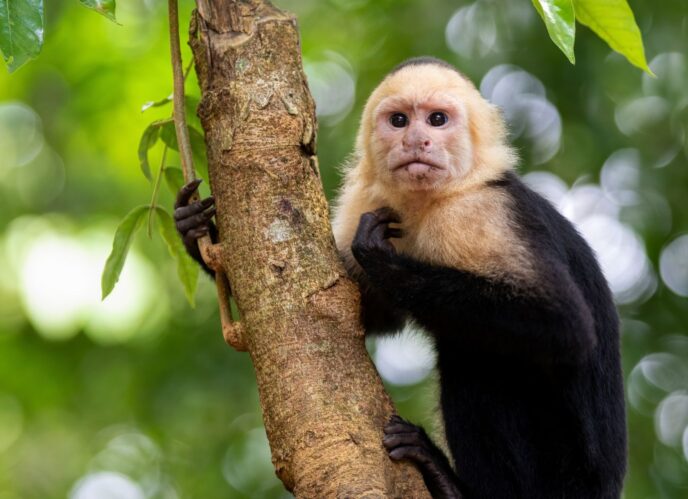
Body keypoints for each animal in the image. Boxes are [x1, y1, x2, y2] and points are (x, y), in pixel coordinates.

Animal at [175, 57, 627, 499]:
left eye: (437, 120)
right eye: (399, 120)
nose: (416, 141)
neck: (433, 202)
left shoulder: (479, 212)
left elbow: (565, 325)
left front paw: (379, 258)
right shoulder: (369, 202)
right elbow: (356, 309)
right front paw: (196, 230)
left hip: (563, 476)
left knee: (474, 356)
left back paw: (451, 483)